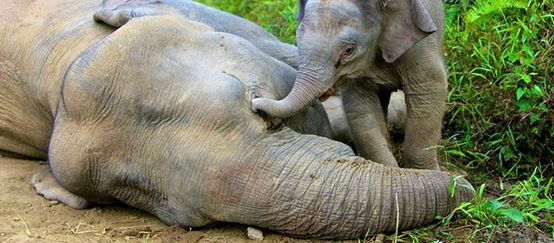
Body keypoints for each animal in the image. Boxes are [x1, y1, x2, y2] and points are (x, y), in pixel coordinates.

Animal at [252, 0, 446, 170]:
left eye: (348, 50)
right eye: (297, 39)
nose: (254, 104)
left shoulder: (419, 46)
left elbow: (430, 91)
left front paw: (427, 173)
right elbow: (360, 107)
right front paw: (391, 171)